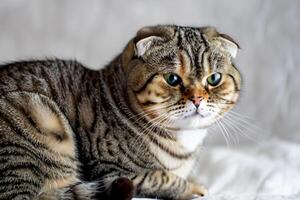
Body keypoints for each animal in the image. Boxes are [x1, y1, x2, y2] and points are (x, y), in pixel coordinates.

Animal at [0, 24, 241, 199]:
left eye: (214, 78)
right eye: (172, 79)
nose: (197, 98)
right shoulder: (113, 171)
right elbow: (159, 178)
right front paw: (193, 188)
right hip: (37, 119)